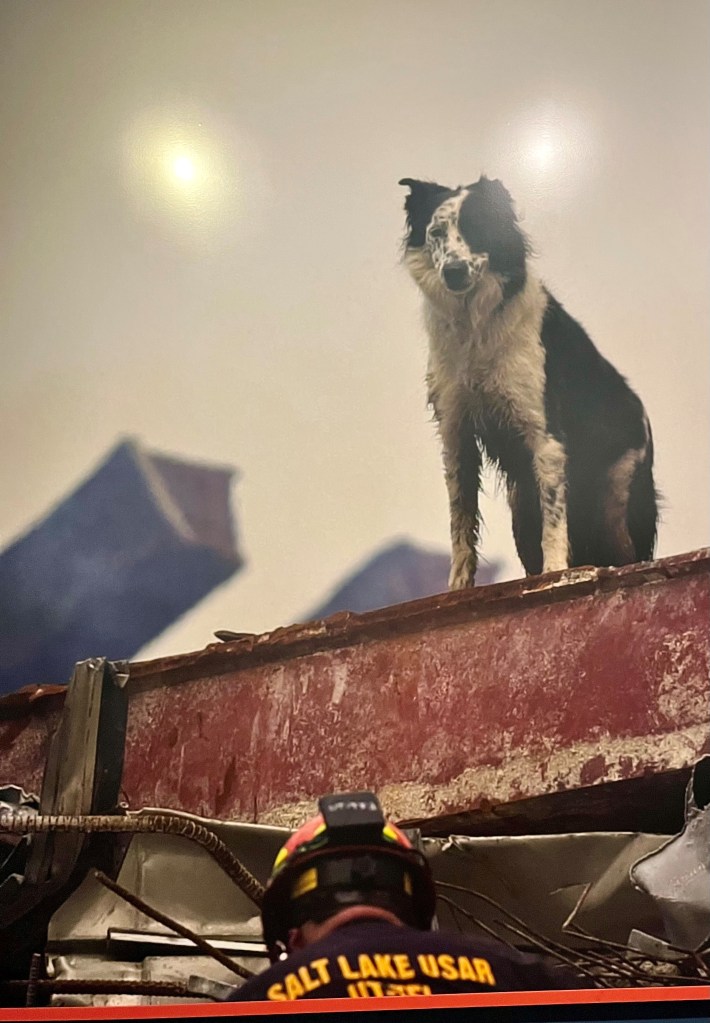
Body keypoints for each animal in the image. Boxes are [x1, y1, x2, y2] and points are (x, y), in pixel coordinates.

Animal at [399, 175, 658, 589]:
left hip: (618, 499)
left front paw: (556, 573)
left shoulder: (546, 437)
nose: (453, 271)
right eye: (437, 233)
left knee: (627, 555)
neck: (476, 324)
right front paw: (457, 587)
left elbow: (554, 521)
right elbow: (461, 523)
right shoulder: (457, 436)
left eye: (478, 227)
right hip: (521, 502)